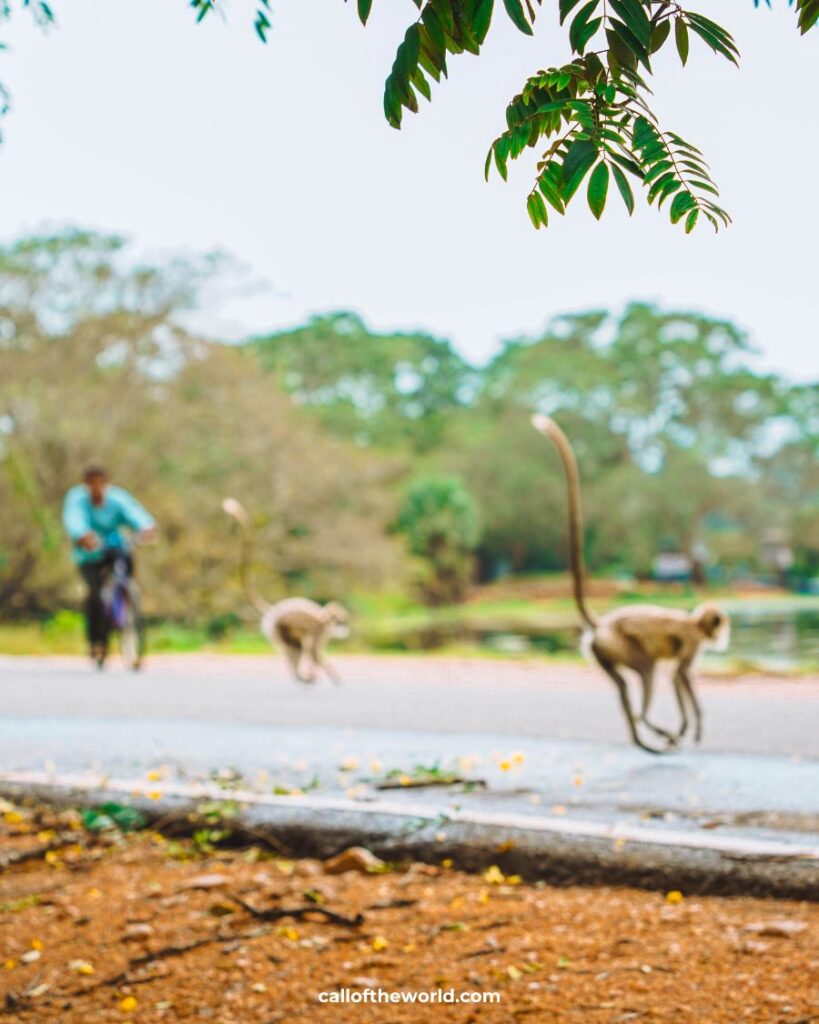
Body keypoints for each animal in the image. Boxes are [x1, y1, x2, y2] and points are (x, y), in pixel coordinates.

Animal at [222, 499, 350, 684]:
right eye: (341, 621)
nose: (344, 626)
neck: (324, 618)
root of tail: (275, 609)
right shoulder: (319, 630)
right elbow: (314, 652)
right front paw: (328, 674)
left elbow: (312, 653)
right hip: (279, 627)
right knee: (297, 648)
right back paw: (302, 677)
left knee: (297, 648)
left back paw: (301, 676)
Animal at [532, 411, 728, 757]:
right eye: (721, 626)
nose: (724, 635)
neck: (694, 622)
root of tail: (602, 624)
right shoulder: (693, 641)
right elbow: (679, 675)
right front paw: (691, 727)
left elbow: (678, 679)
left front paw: (685, 728)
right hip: (618, 645)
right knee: (647, 669)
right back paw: (652, 727)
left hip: (601, 650)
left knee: (625, 686)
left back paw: (643, 738)